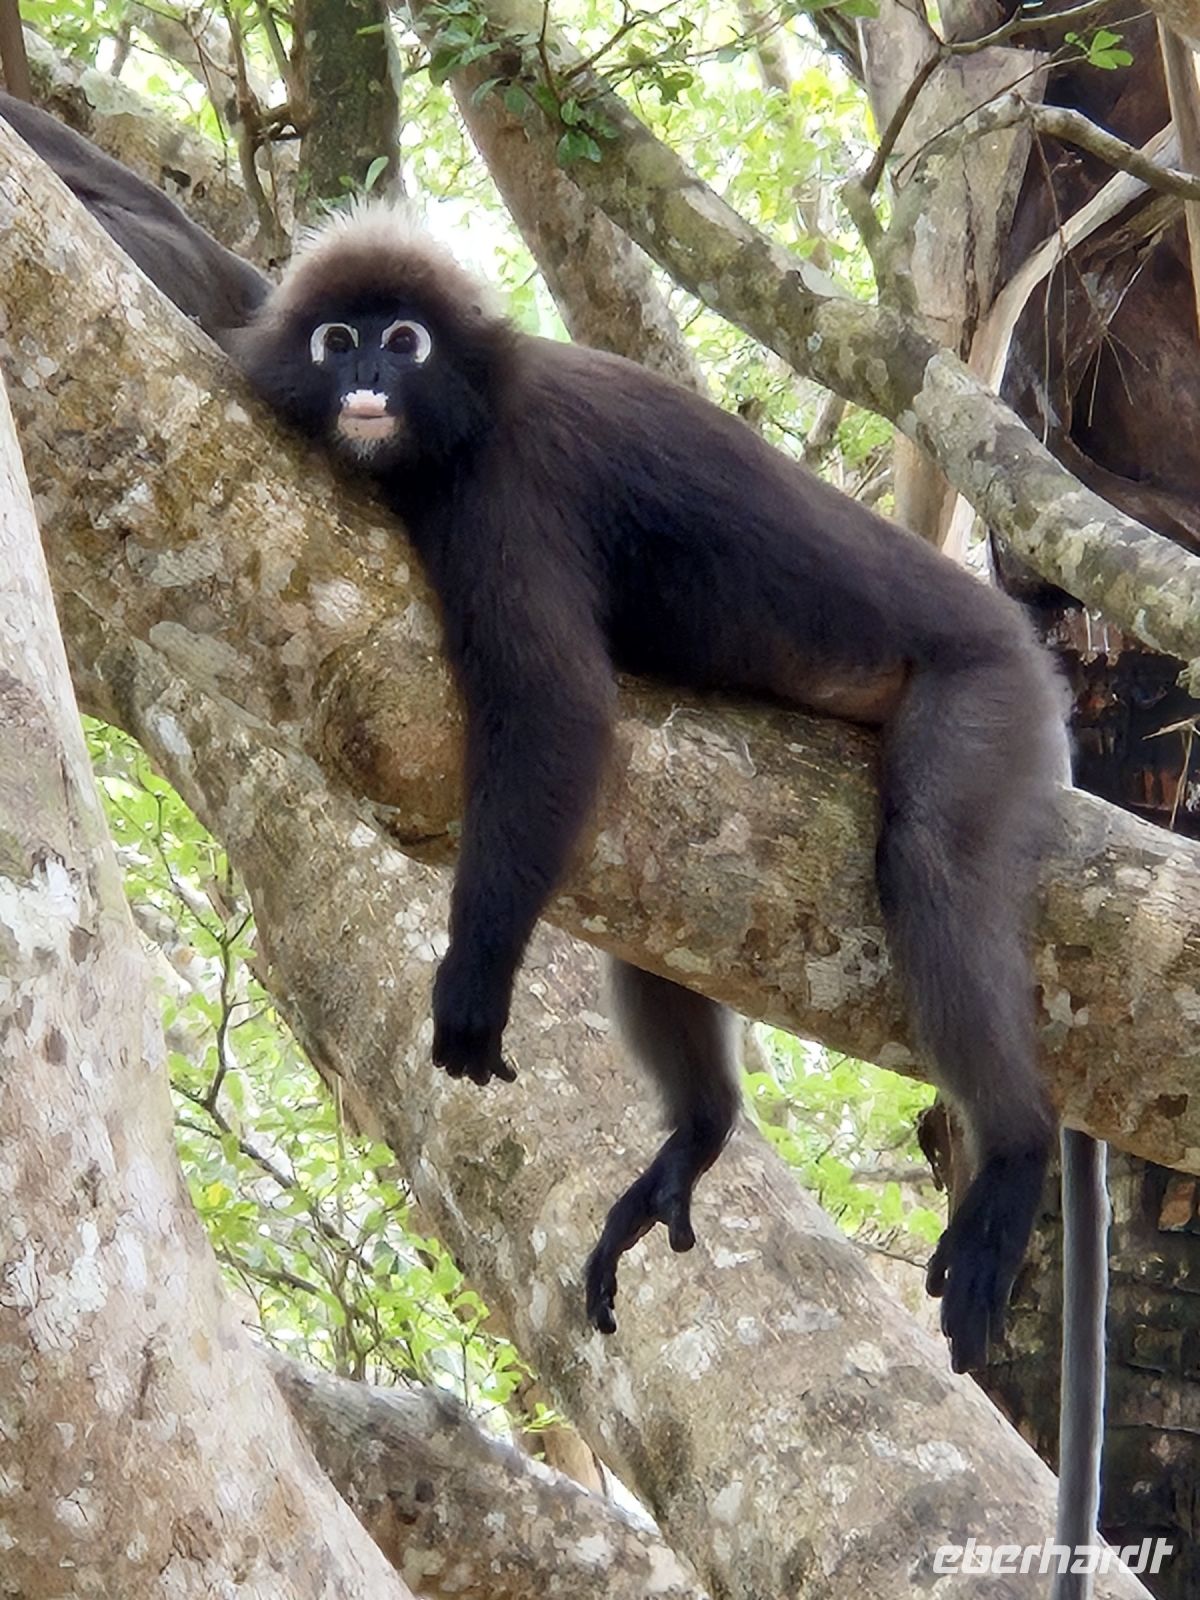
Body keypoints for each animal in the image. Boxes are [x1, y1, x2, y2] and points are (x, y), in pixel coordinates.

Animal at [1, 103, 1108, 1579]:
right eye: (338, 338)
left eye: (402, 343)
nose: (365, 377)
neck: (456, 424)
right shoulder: (254, 342)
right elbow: (194, 273)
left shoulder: (506, 491)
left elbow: (560, 710)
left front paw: (471, 980)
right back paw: (699, 1131)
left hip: (987, 696)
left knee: (929, 859)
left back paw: (1017, 1156)